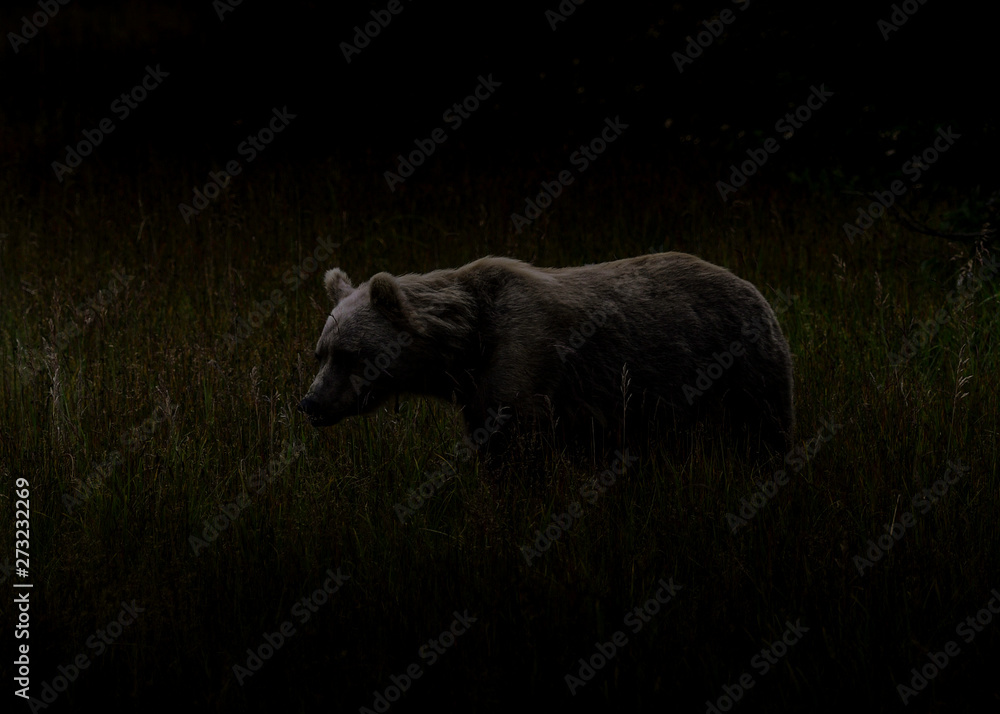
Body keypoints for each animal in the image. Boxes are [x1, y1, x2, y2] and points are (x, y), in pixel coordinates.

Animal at [298, 252, 794, 462]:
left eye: (350, 354)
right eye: (320, 353)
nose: (311, 403)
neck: (468, 345)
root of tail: (754, 289)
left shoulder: (524, 365)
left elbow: (520, 450)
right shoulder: (479, 393)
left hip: (740, 369)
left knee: (762, 431)